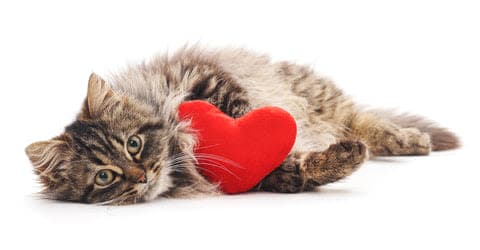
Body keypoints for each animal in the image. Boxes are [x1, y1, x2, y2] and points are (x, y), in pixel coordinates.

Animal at [24, 46, 460, 204]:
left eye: (133, 144)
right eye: (104, 177)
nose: (143, 175)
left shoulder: (204, 77)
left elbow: (243, 111)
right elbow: (297, 170)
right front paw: (324, 160)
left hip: (319, 95)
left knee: (364, 121)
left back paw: (411, 139)